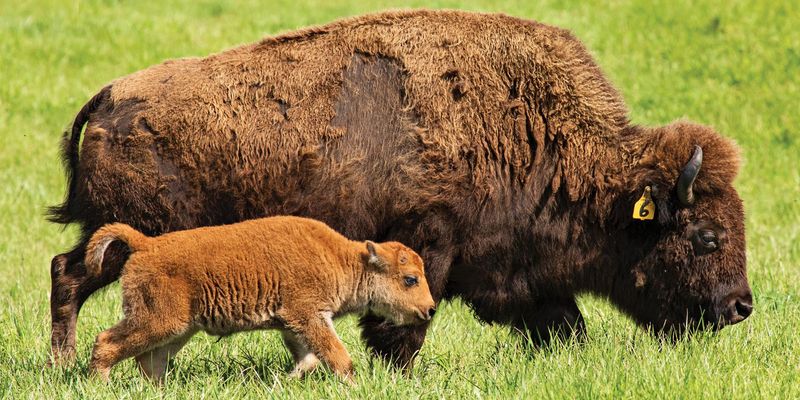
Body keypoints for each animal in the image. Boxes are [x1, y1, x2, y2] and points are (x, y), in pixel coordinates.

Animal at [83, 216, 432, 382]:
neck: (343, 259)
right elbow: (336, 355)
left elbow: (309, 358)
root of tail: (146, 244)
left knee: (150, 359)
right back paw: (101, 383)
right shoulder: (309, 315)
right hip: (157, 321)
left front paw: (290, 378)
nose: (429, 309)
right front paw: (352, 384)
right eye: (410, 279)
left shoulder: (293, 325)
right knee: (107, 342)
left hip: (179, 330)